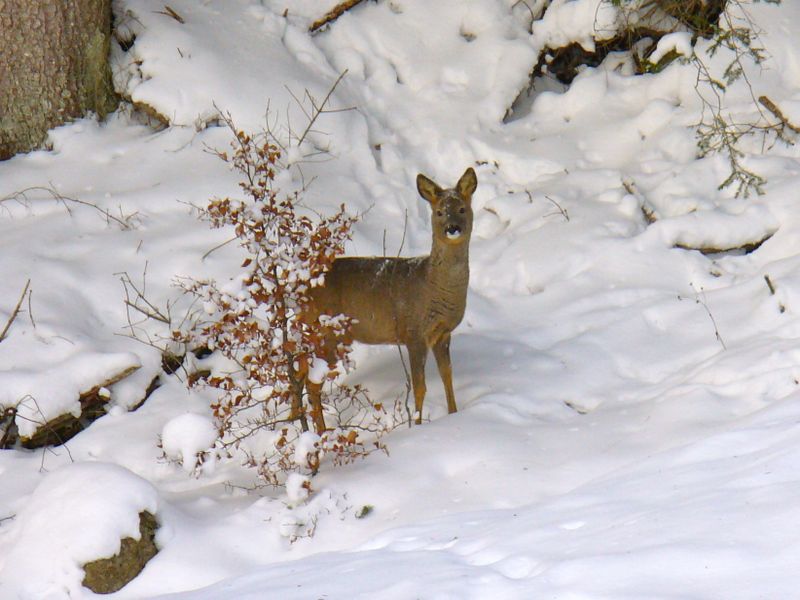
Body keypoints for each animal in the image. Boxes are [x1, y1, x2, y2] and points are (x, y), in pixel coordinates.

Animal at [300, 168, 476, 432]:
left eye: (462, 209)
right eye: (439, 212)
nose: (452, 228)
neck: (433, 286)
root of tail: (301, 289)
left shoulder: (442, 333)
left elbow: (448, 376)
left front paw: (454, 415)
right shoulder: (414, 332)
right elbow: (420, 387)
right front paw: (417, 426)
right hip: (327, 332)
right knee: (312, 383)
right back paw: (321, 432)